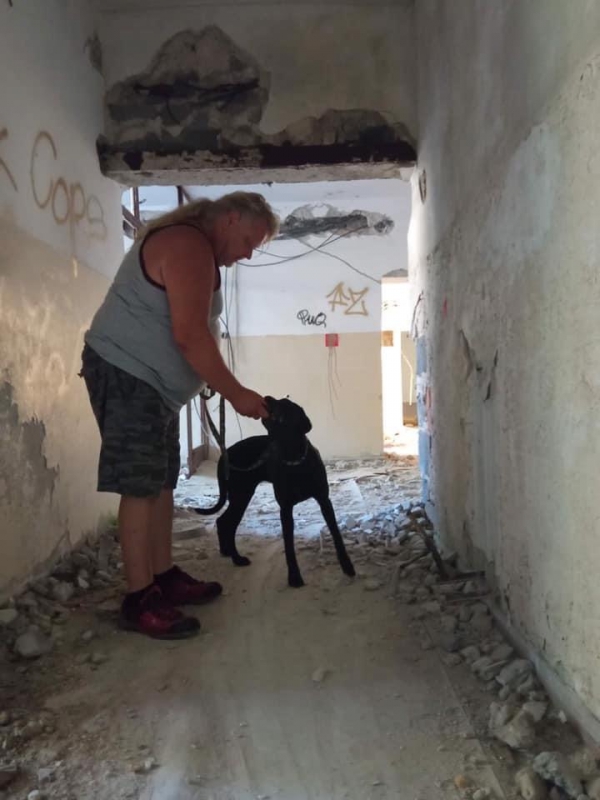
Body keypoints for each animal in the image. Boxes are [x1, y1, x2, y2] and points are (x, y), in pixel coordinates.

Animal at [194, 396, 356, 587]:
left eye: (284, 404)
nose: (267, 397)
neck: (294, 459)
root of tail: (224, 456)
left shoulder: (324, 501)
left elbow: (337, 535)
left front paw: (347, 566)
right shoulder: (285, 509)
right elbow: (288, 545)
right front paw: (294, 577)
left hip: (241, 495)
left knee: (223, 521)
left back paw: (226, 552)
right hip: (241, 495)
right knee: (228, 523)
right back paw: (237, 558)